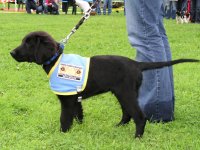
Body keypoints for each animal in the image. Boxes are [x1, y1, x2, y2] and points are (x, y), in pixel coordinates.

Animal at [10, 31, 198, 138]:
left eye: (28, 43)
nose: (11, 52)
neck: (56, 60)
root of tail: (137, 64)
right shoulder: (75, 99)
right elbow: (78, 115)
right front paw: (79, 129)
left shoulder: (67, 100)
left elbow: (64, 118)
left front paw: (62, 134)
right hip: (123, 93)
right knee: (127, 113)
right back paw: (119, 126)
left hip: (126, 93)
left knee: (139, 116)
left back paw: (137, 137)